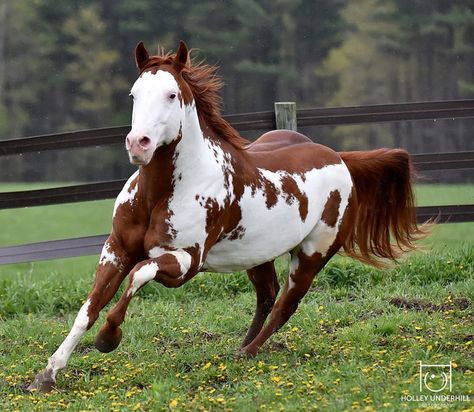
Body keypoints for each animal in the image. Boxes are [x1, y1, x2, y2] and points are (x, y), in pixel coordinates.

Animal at [28, 41, 426, 392]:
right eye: (134, 94)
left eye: (171, 95)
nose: (138, 144)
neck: (158, 194)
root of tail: (340, 158)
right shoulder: (116, 250)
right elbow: (88, 307)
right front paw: (46, 376)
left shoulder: (185, 262)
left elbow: (140, 273)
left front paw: (108, 338)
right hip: (258, 255)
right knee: (268, 296)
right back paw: (239, 348)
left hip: (314, 253)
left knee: (286, 304)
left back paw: (248, 354)